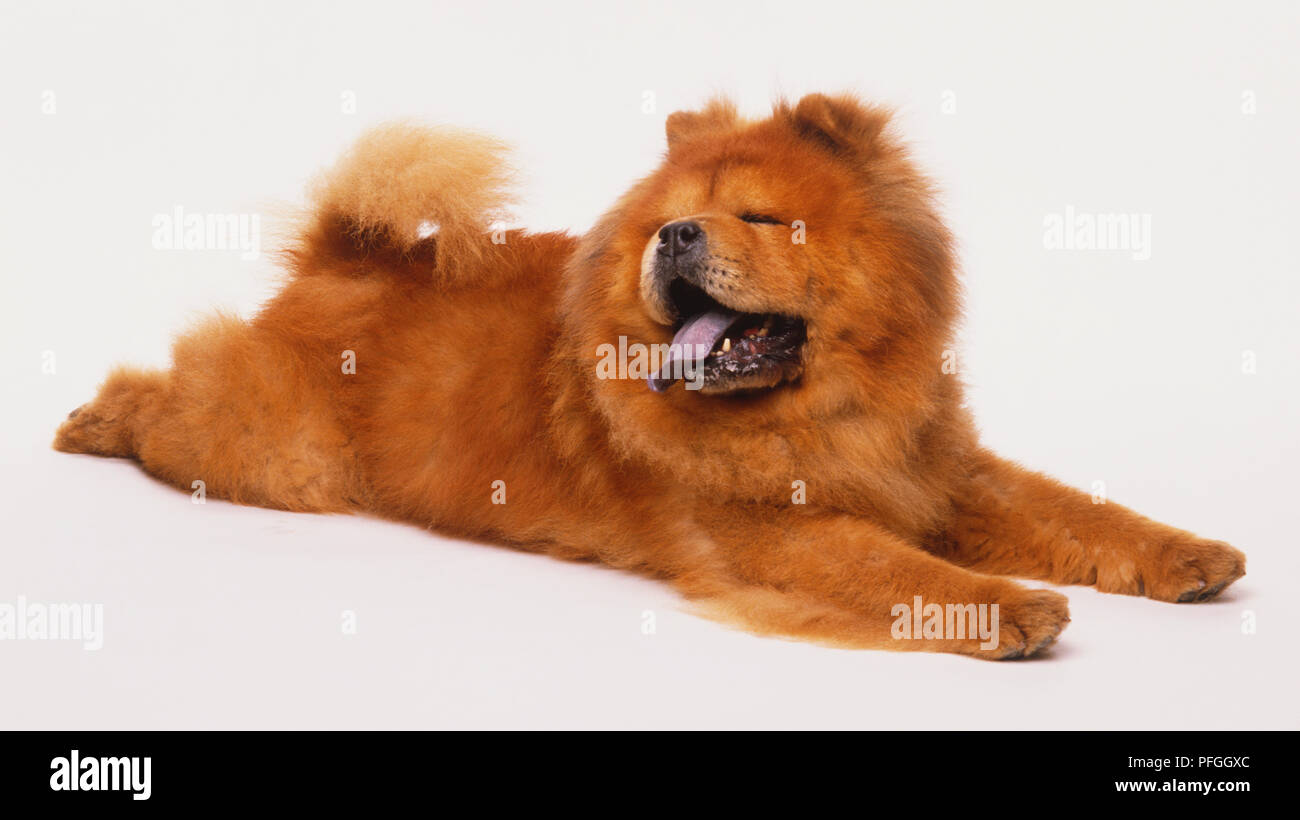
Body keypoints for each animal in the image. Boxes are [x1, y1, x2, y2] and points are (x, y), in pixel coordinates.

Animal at [55, 94, 1242, 660]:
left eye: (759, 217)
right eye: (680, 215)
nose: (675, 234)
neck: (828, 410)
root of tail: (344, 257)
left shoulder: (942, 474)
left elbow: (1082, 512)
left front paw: (1192, 556)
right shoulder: (772, 531)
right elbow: (899, 569)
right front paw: (1010, 608)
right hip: (276, 451)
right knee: (170, 392)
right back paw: (90, 420)